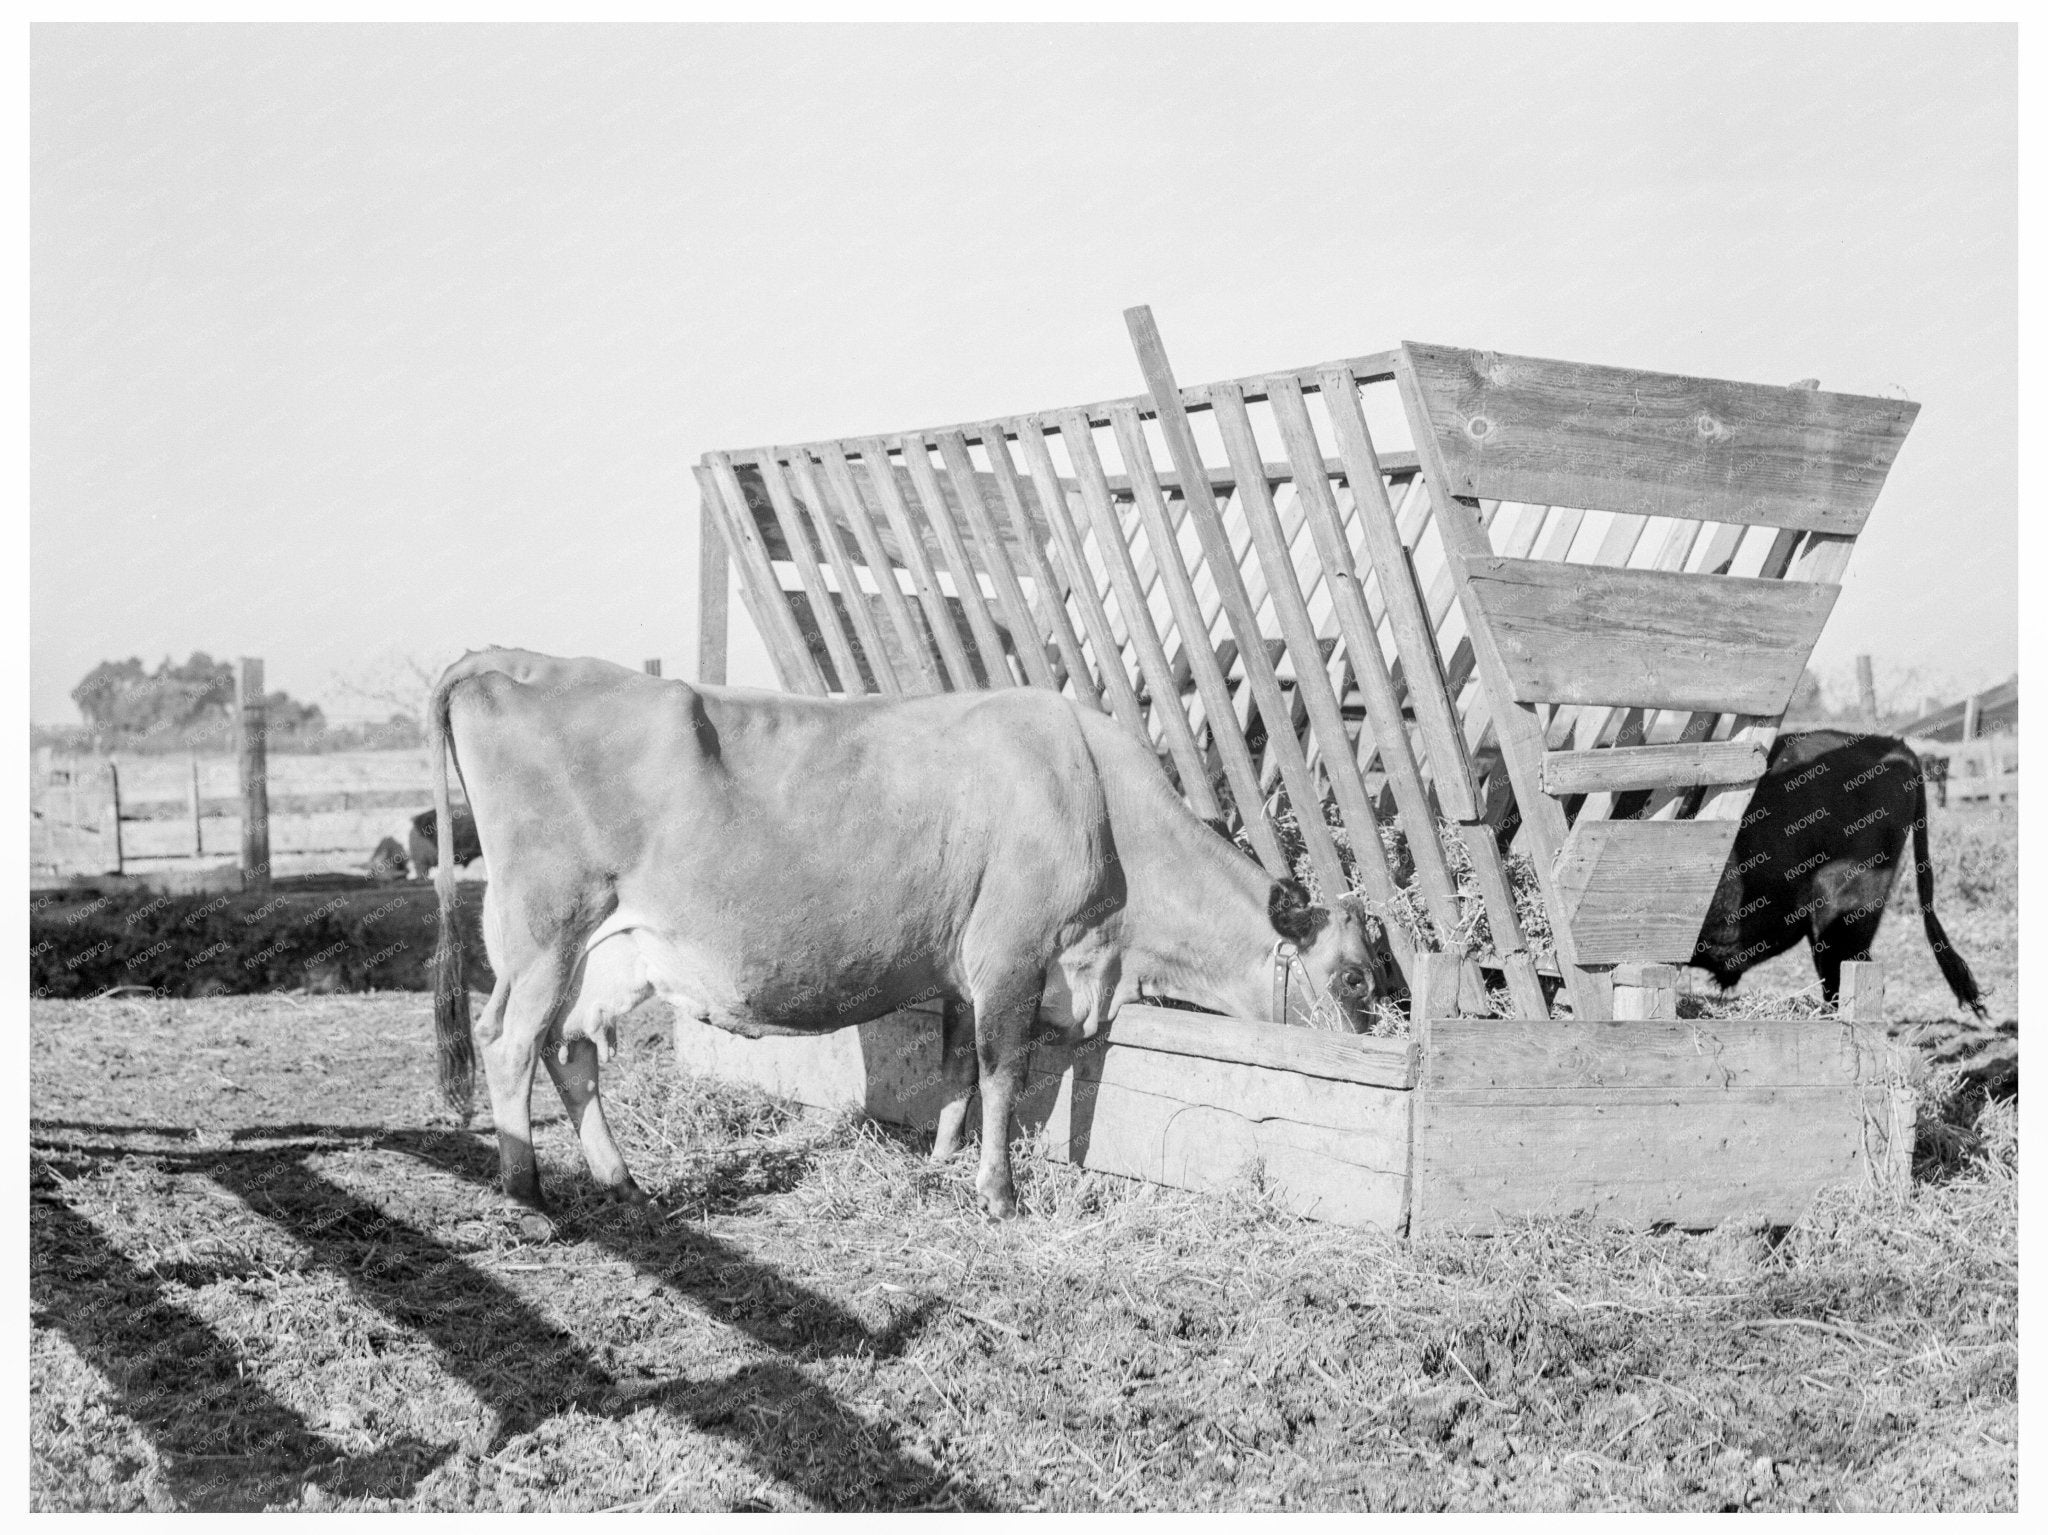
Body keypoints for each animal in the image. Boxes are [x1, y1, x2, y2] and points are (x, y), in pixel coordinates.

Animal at [434, 650, 1392, 1228]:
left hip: (601, 952)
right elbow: (1004, 1069)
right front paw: (998, 1192)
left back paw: (623, 1182)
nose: (1373, 1042)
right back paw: (528, 1194)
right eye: (1354, 980)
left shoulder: (967, 965)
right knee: (508, 1042)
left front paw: (940, 1158)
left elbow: (959, 1062)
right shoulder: (1011, 951)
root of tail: (511, 664)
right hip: (544, 927)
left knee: (569, 1047)